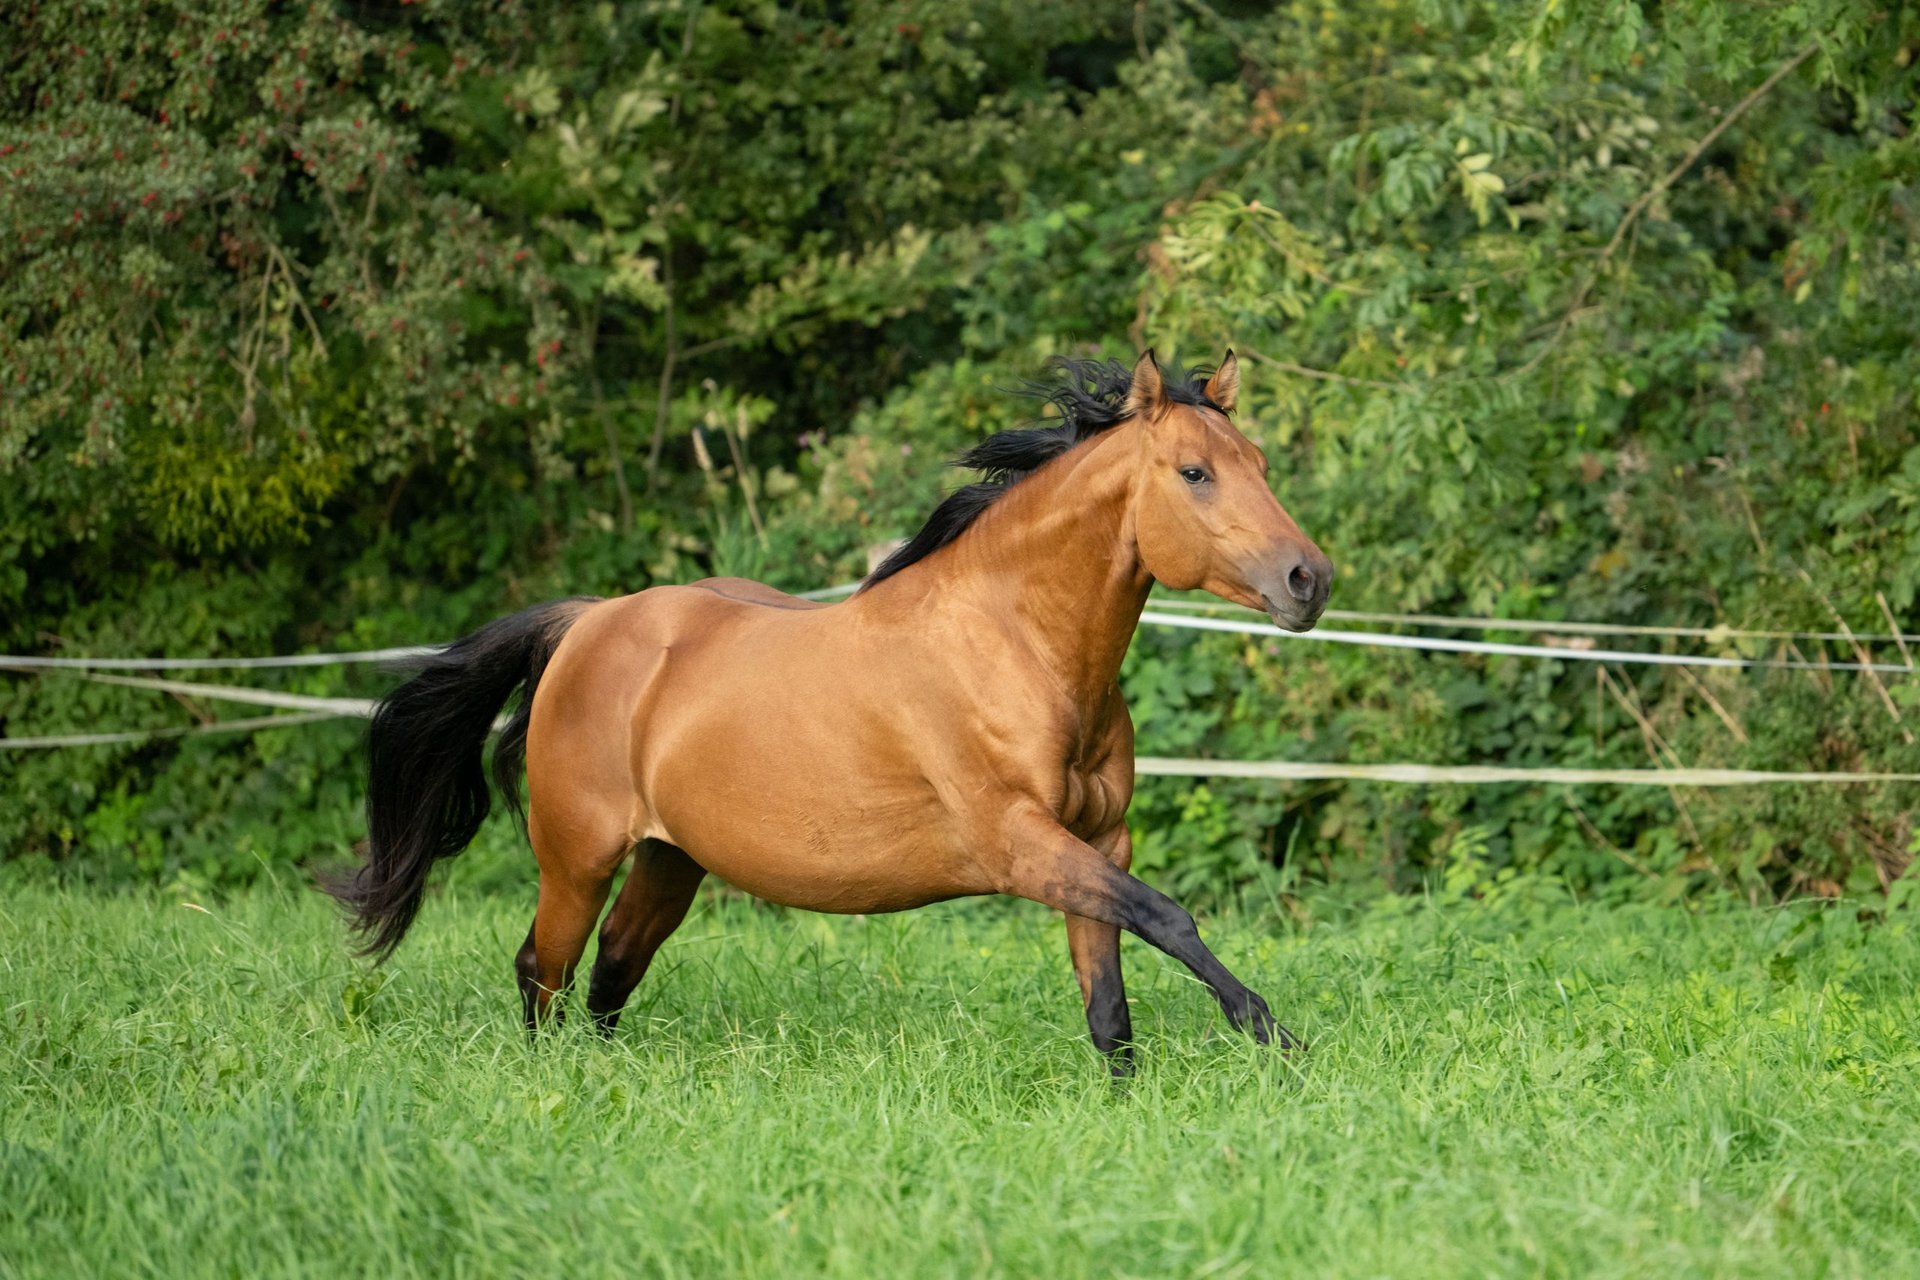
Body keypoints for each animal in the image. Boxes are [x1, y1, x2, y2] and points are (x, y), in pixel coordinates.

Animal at [322, 347, 1328, 1074]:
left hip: (670, 861)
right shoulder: (1019, 844)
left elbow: (1110, 1003)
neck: (1014, 646)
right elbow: (1170, 918)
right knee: (546, 971)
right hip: (577, 858)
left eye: (1259, 463)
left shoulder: (1097, 841)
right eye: (1194, 472)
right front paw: (1272, 1034)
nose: (1308, 580)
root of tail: (587, 622)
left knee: (612, 971)